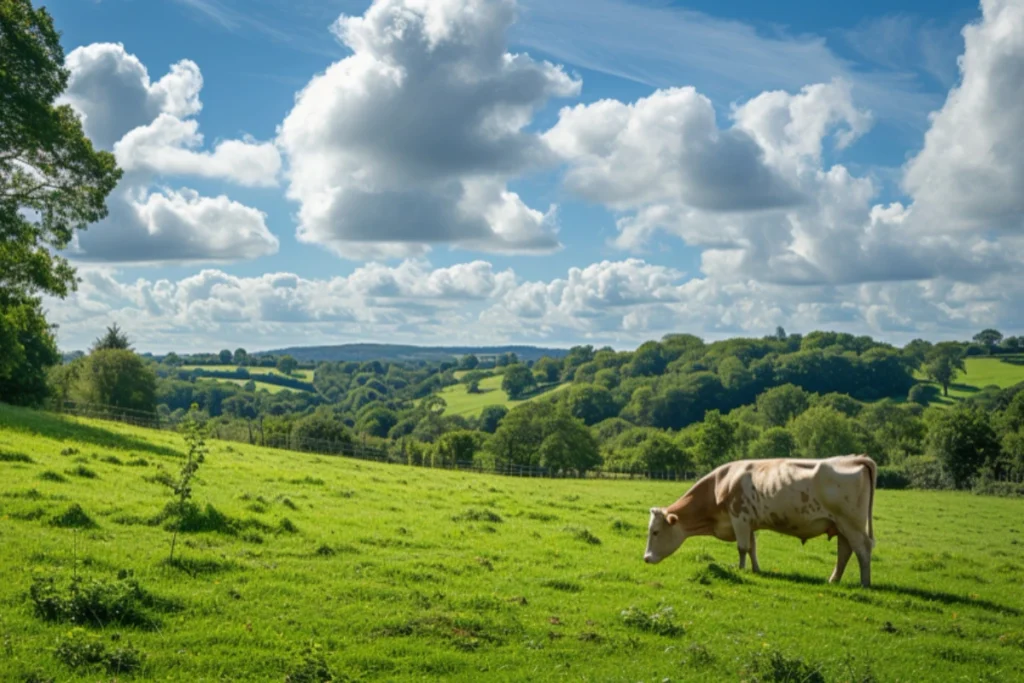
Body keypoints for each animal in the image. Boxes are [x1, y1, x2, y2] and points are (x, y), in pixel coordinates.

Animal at [643, 456, 876, 585]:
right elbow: (752, 547)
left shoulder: (739, 518)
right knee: (845, 552)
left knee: (862, 550)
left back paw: (865, 583)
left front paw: (740, 569)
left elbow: (742, 548)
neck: (721, 483)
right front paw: (756, 570)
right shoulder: (749, 523)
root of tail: (854, 458)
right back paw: (833, 580)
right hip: (841, 525)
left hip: (852, 524)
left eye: (655, 532)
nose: (646, 558)